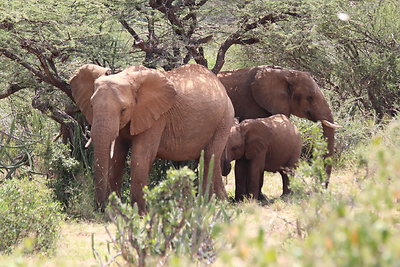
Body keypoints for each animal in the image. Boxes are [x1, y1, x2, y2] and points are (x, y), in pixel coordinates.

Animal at [69, 63, 234, 215]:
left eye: (123, 110)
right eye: (91, 106)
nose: (100, 208)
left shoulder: (157, 117)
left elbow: (141, 156)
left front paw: (140, 214)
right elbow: (117, 157)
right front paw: (115, 211)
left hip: (224, 118)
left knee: (210, 156)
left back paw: (208, 204)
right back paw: (219, 202)